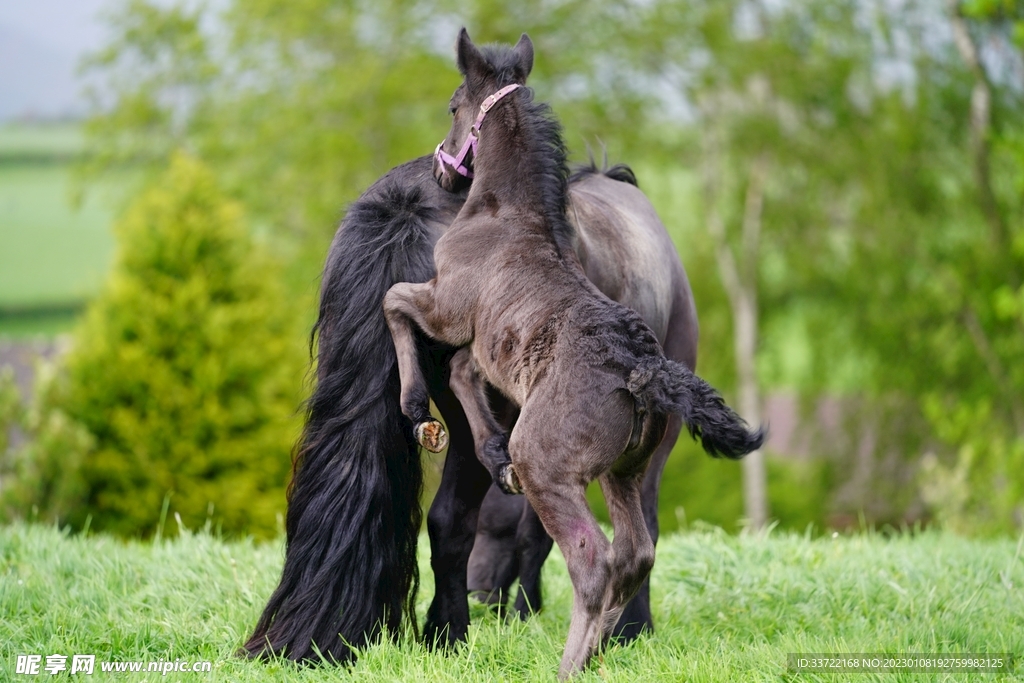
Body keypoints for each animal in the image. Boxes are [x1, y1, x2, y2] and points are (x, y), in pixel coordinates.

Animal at [382, 30, 764, 677]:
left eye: (454, 105)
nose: (440, 166)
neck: (511, 216)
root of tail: (642, 367)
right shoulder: (485, 349)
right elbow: (459, 372)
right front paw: (489, 449)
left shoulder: (447, 307)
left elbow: (397, 302)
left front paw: (417, 413)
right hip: (623, 472)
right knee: (635, 554)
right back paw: (597, 651)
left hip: (553, 469)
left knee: (594, 559)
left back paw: (568, 665)